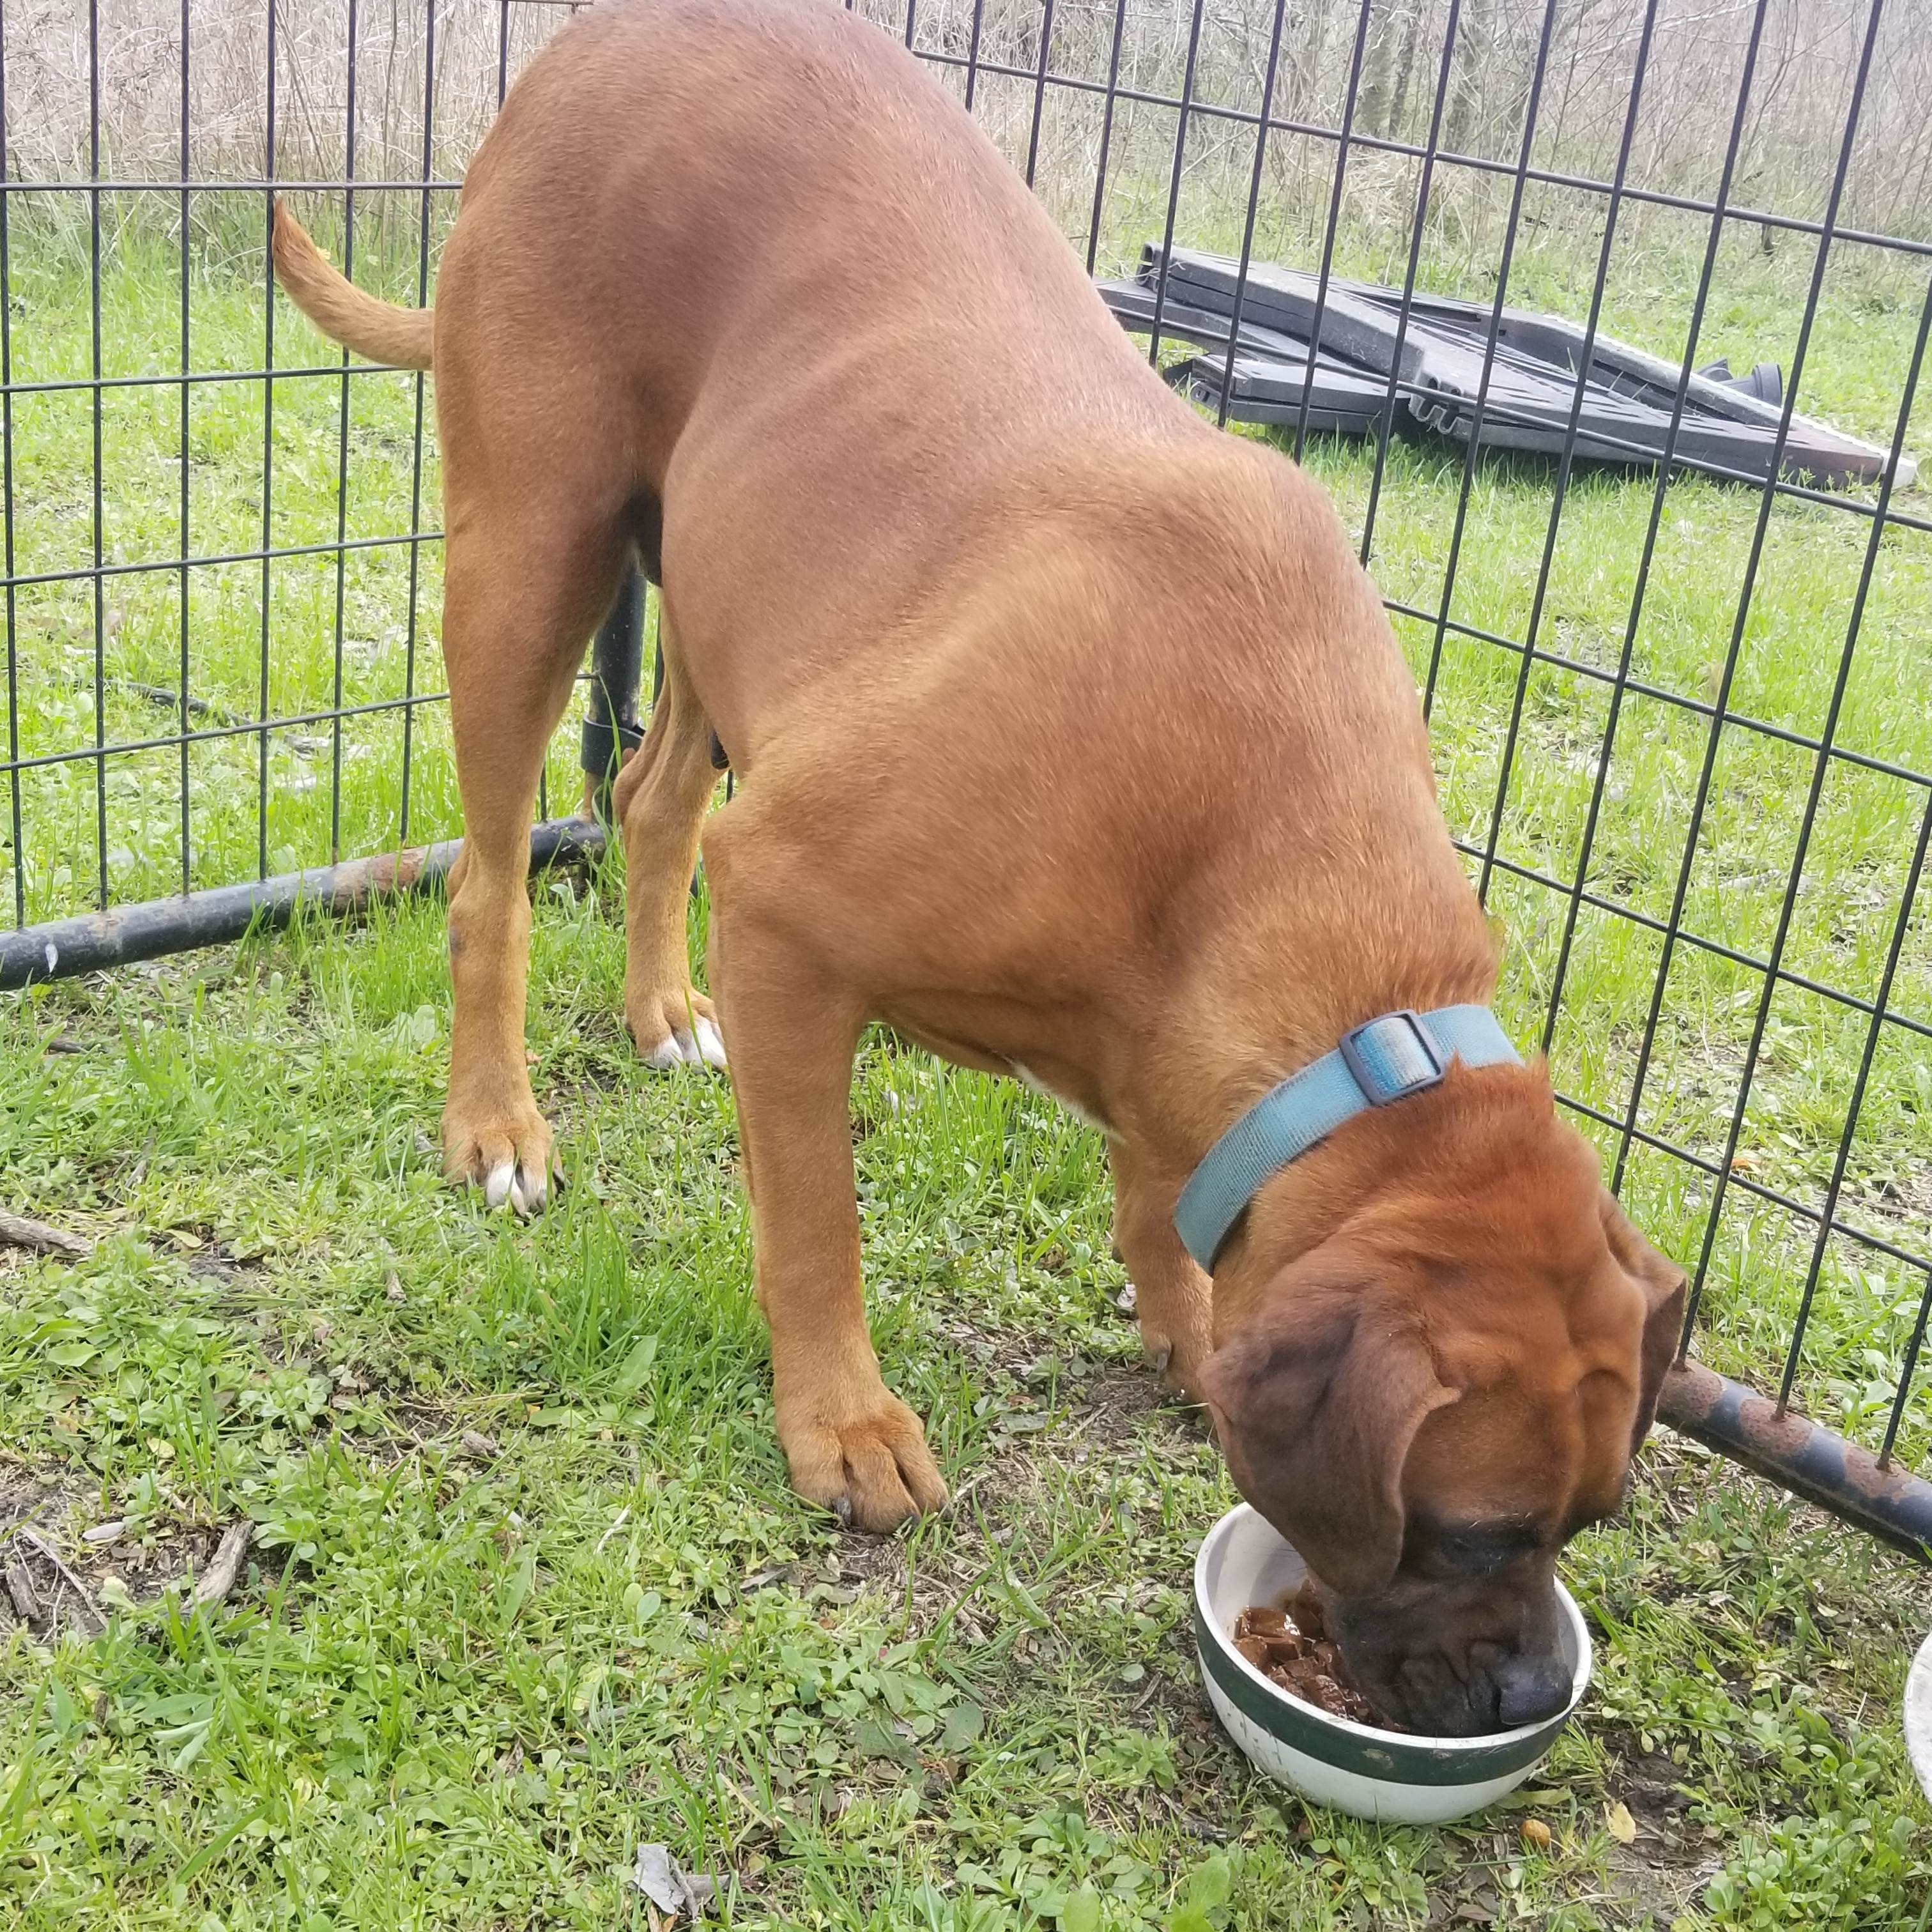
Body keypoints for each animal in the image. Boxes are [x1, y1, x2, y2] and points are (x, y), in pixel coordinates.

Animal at [268, 0, 1676, 1731]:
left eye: (1591, 1518)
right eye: (1472, 1531)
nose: (1537, 1687)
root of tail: (595, 42)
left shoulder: (1166, 1051)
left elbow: (1156, 1197)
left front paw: (1187, 1329)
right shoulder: (792, 917)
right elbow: (817, 1222)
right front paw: (842, 1422)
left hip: (724, 594)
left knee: (655, 803)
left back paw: (662, 1015)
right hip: (533, 556)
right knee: (488, 882)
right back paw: (496, 1126)